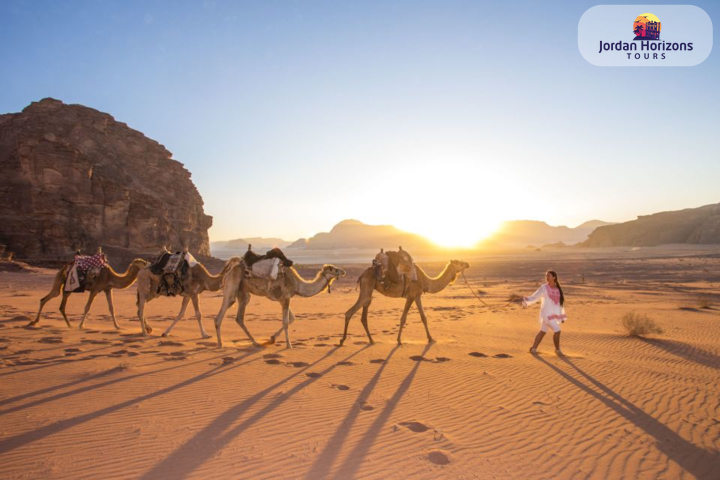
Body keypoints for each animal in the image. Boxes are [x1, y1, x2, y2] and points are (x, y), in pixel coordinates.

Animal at [214, 262, 346, 348]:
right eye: (334, 269)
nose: (344, 271)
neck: (298, 285)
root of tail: (228, 273)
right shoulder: (286, 298)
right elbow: (286, 321)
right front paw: (289, 344)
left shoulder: (283, 299)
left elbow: (292, 318)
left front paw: (272, 338)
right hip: (232, 287)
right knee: (221, 314)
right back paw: (220, 344)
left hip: (243, 293)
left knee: (239, 318)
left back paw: (255, 342)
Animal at [340, 258, 470, 344]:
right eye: (459, 262)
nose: (468, 264)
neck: (425, 281)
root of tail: (362, 275)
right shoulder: (411, 296)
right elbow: (403, 318)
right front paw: (399, 340)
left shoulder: (417, 296)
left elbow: (424, 317)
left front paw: (431, 338)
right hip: (367, 288)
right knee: (349, 312)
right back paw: (342, 340)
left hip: (369, 291)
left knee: (364, 315)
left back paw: (371, 340)